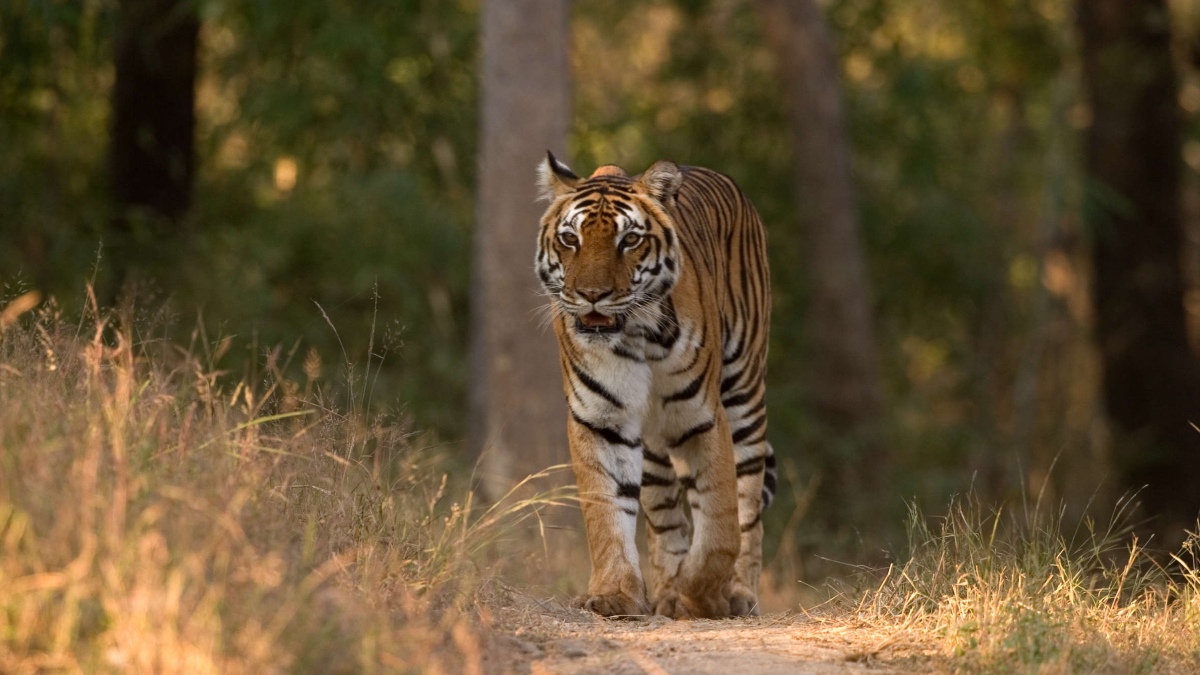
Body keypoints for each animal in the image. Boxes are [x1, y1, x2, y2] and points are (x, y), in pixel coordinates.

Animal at [535, 152, 777, 614]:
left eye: (629, 240)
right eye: (570, 239)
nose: (592, 294)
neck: (634, 334)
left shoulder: (701, 415)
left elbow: (720, 522)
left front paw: (703, 596)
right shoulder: (602, 419)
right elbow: (606, 510)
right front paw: (614, 594)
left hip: (744, 394)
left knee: (748, 505)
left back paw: (738, 593)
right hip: (652, 448)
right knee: (665, 517)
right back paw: (666, 594)